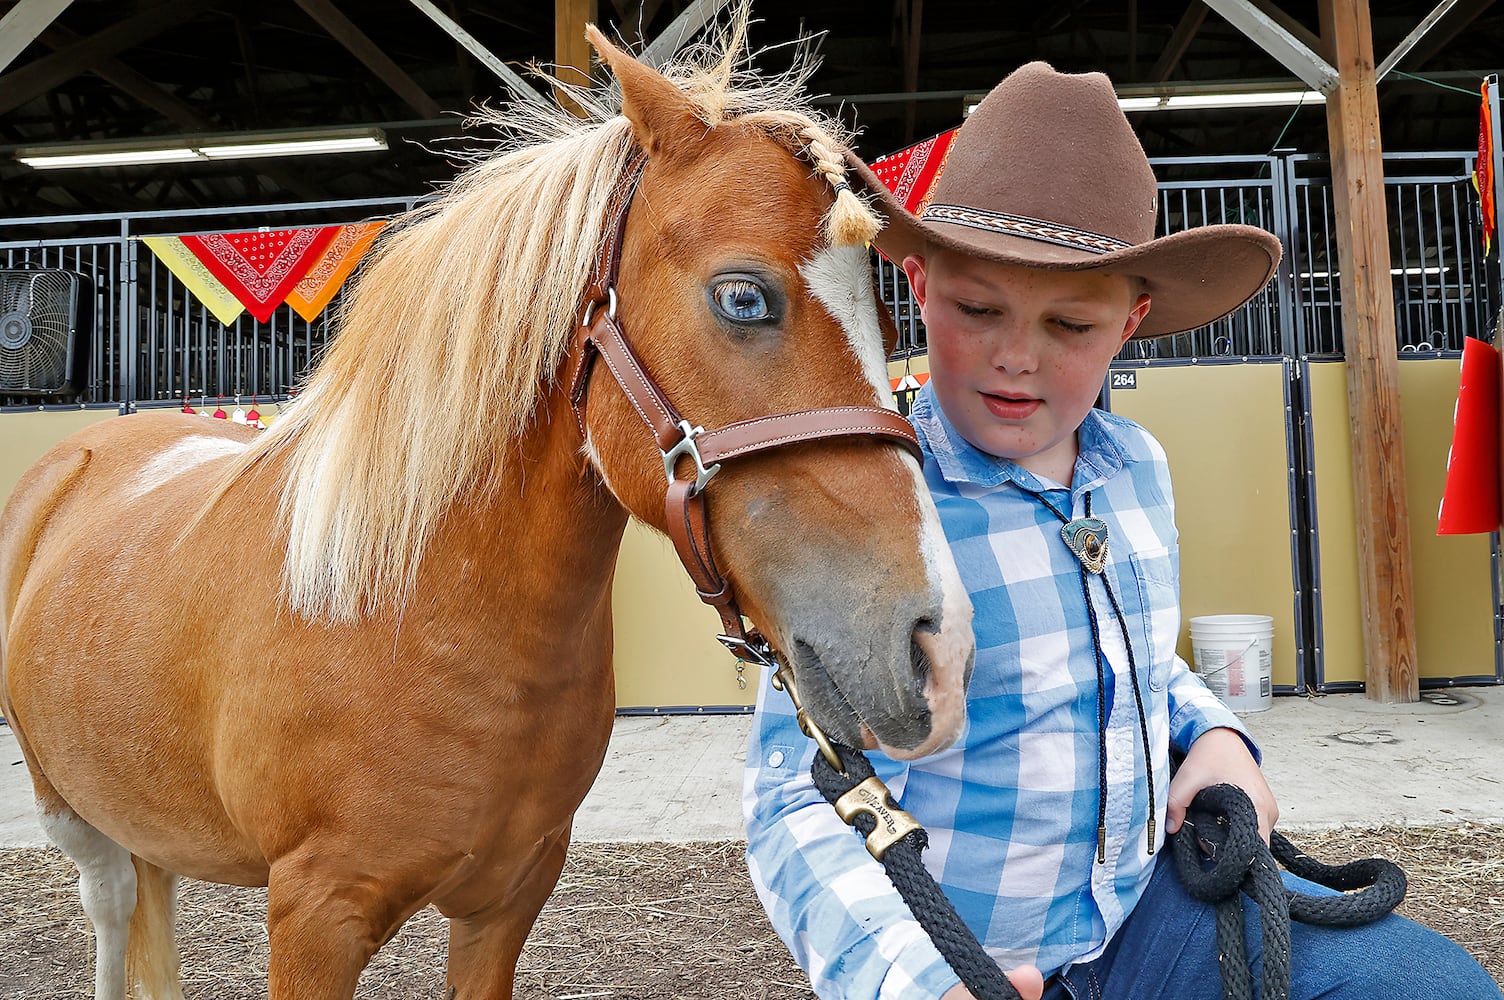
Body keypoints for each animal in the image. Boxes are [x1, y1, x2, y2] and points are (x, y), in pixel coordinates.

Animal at [0, 17, 974, 998]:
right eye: (744, 296)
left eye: (890, 318)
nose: (939, 646)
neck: (414, 611)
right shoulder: (312, 917)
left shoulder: (509, 898)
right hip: (72, 817)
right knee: (111, 913)